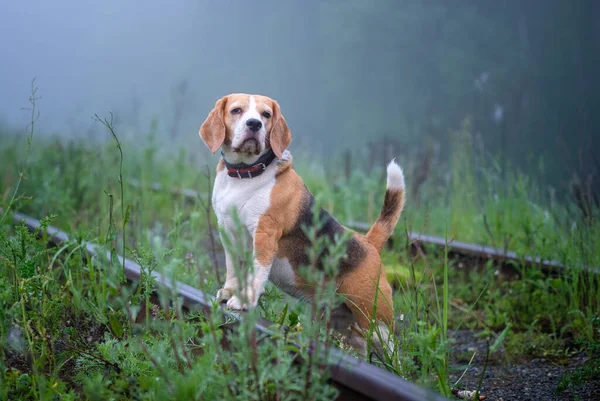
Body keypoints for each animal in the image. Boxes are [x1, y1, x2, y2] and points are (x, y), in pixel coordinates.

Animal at [199, 93, 406, 350]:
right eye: (237, 110)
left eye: (266, 115)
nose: (254, 124)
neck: (245, 175)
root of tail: (368, 242)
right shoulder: (228, 231)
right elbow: (232, 267)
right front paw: (229, 291)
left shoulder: (264, 234)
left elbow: (256, 271)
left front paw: (244, 300)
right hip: (350, 329)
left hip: (375, 323)